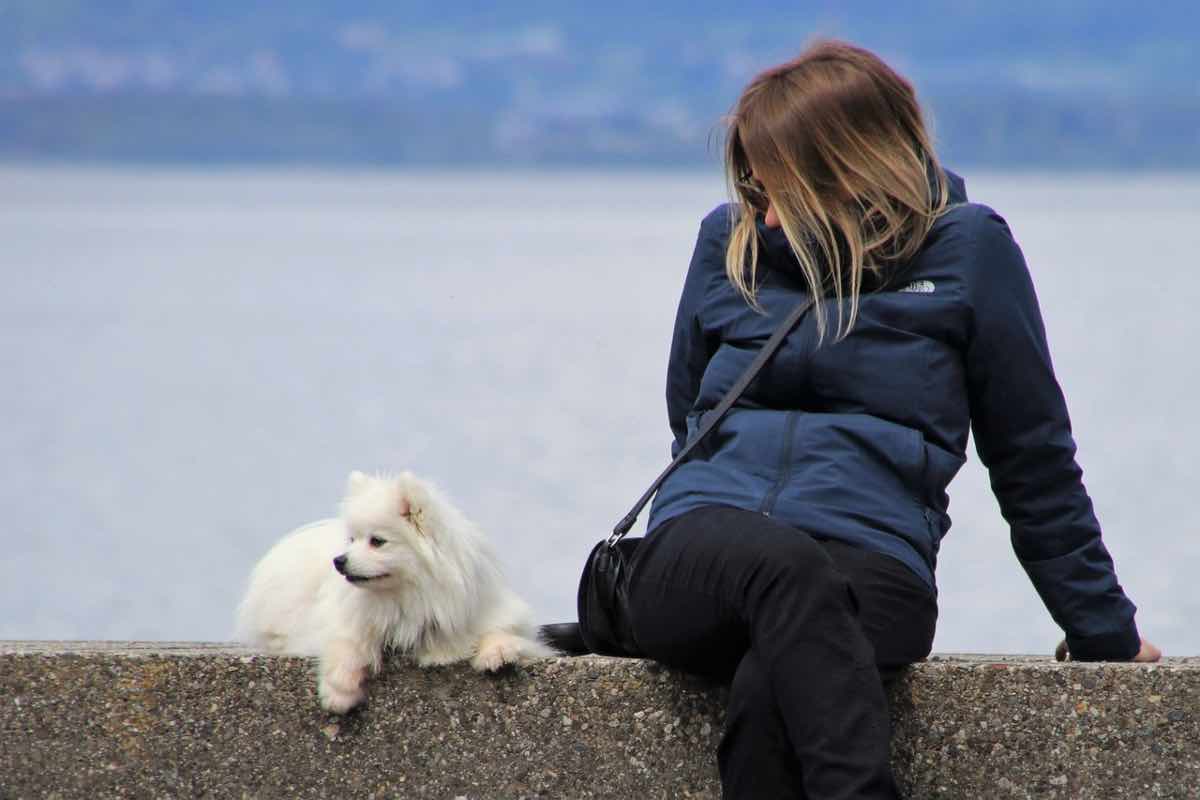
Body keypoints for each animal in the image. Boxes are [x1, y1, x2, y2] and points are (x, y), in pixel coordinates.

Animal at [236, 470, 554, 714]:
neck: (409, 598)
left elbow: (500, 630)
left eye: (377, 541)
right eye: (352, 540)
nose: (339, 560)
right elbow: (348, 642)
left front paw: (497, 652)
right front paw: (339, 690)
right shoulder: (344, 619)